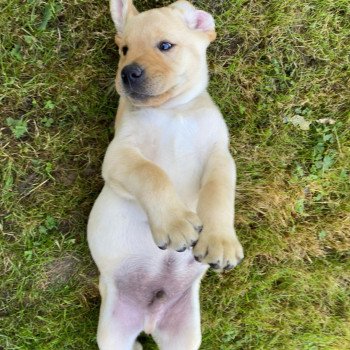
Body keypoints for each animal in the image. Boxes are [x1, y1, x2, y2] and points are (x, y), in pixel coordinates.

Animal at [87, 1, 245, 348]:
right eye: (124, 50)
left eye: (165, 46)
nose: (127, 72)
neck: (172, 110)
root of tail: (149, 320)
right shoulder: (119, 156)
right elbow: (152, 173)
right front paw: (174, 223)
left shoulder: (219, 156)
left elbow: (218, 192)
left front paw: (220, 240)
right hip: (113, 331)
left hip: (184, 335)